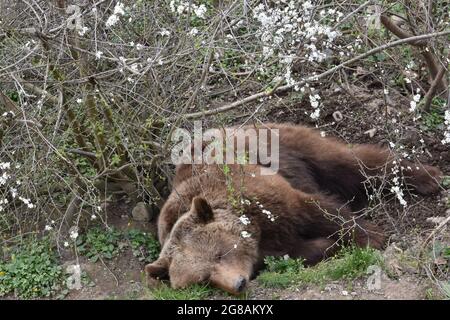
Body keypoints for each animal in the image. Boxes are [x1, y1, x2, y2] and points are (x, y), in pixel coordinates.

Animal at [145, 122, 442, 296]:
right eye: (204, 279)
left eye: (219, 254)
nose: (238, 284)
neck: (255, 230)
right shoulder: (268, 247)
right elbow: (300, 250)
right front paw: (329, 245)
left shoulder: (265, 198)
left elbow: (317, 212)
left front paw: (371, 236)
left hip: (280, 147)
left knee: (348, 162)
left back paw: (427, 176)